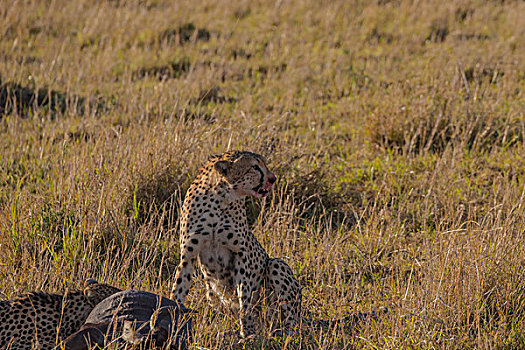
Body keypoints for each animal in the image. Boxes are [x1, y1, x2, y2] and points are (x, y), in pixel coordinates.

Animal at [171, 150, 300, 336]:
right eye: (254, 167)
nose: (273, 178)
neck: (220, 197)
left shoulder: (240, 254)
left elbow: (244, 297)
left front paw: (248, 332)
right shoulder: (188, 254)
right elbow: (179, 286)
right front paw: (171, 313)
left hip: (277, 264)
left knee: (291, 318)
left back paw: (288, 335)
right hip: (212, 290)